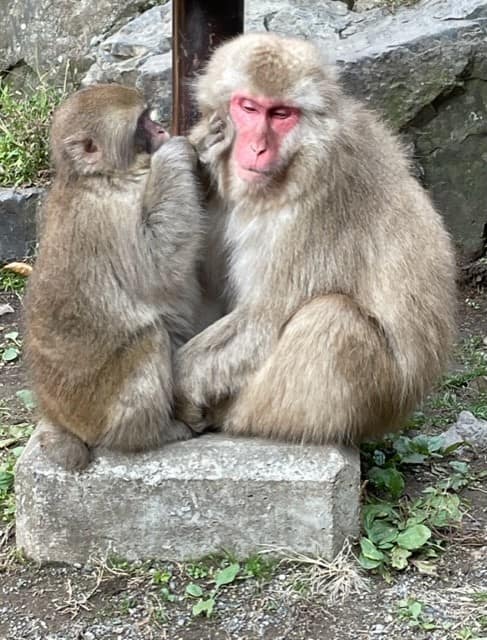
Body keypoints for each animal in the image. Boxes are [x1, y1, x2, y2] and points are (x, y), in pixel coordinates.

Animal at [24, 83, 203, 470]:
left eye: (150, 116)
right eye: (141, 124)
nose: (162, 129)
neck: (100, 176)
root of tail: (62, 417)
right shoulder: (113, 215)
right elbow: (157, 265)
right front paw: (174, 154)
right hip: (99, 409)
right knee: (150, 337)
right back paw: (151, 434)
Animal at [173, 32, 457, 445]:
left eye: (281, 114)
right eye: (248, 108)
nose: (257, 147)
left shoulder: (315, 211)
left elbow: (263, 320)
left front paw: (175, 388)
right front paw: (198, 152)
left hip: (363, 403)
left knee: (331, 319)